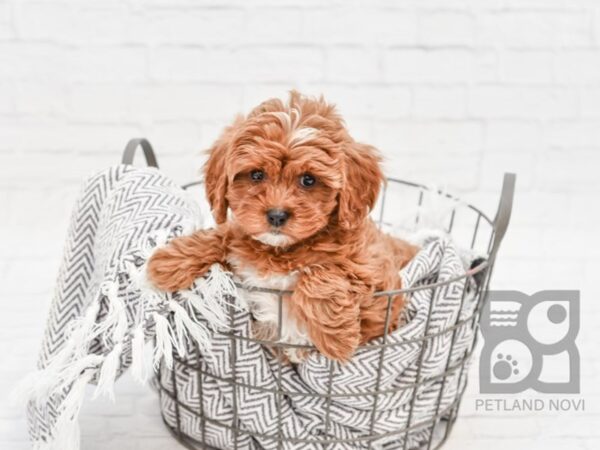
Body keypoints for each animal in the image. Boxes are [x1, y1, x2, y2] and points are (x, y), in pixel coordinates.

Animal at [148, 91, 420, 362]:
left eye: (308, 180)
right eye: (256, 175)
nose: (277, 215)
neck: (282, 251)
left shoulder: (376, 275)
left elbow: (324, 270)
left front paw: (336, 338)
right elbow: (224, 235)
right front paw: (168, 262)